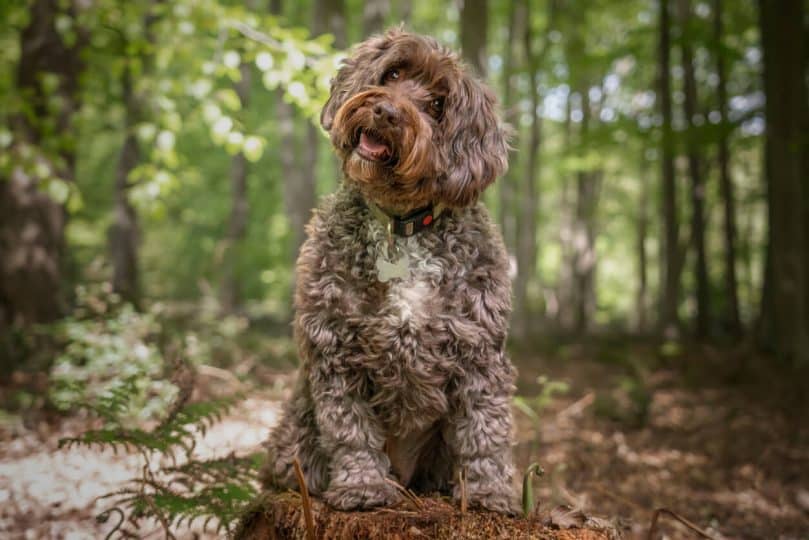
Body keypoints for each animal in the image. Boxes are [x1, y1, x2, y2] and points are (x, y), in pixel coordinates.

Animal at [266, 28, 516, 516]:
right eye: (394, 73)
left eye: (438, 104)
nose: (386, 111)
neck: (400, 227)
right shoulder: (334, 348)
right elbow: (350, 429)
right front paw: (362, 485)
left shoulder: (479, 352)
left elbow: (486, 428)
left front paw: (492, 491)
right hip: (297, 433)